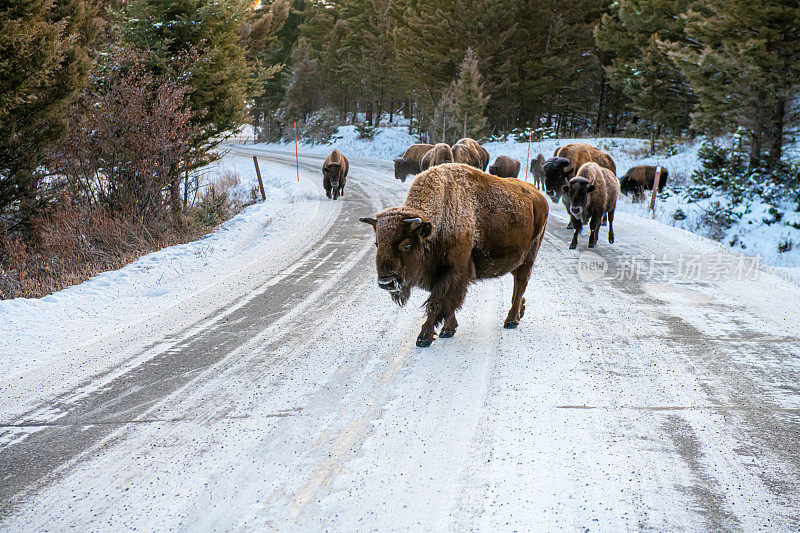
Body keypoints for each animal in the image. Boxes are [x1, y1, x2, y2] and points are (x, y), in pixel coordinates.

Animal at [360, 162, 552, 348]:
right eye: (377, 243)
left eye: (407, 245)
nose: (386, 283)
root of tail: (539, 197)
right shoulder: (438, 274)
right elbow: (446, 304)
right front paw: (447, 330)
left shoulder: (454, 271)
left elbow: (437, 302)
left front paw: (424, 338)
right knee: (518, 288)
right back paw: (520, 312)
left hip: (528, 259)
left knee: (520, 285)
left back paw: (511, 321)